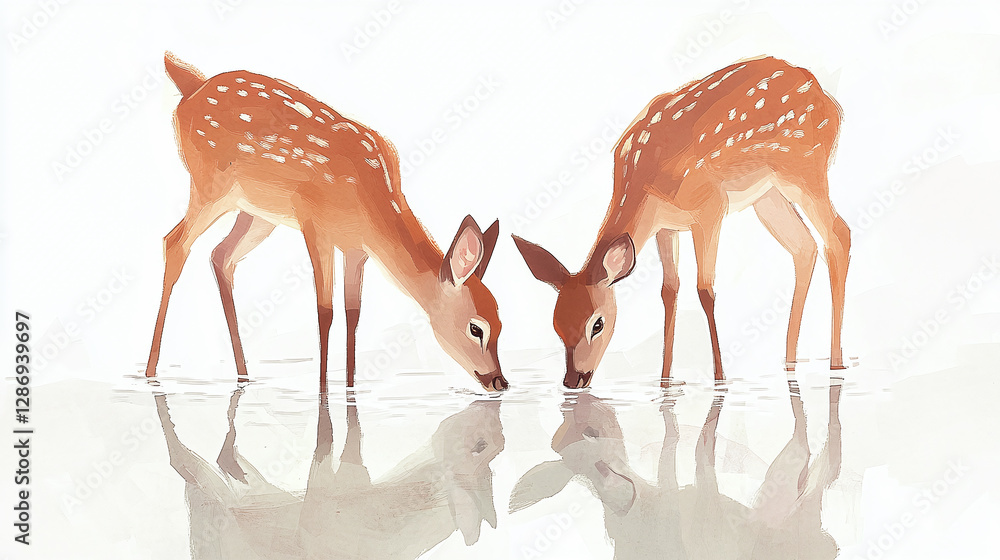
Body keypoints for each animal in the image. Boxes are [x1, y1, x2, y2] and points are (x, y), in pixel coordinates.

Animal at [146, 52, 508, 392]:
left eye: (502, 324)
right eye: (476, 328)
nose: (499, 381)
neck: (372, 202)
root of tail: (192, 86)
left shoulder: (356, 247)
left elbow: (353, 313)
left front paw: (350, 387)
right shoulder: (314, 222)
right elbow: (325, 310)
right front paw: (322, 390)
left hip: (257, 211)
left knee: (221, 256)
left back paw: (244, 374)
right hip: (210, 185)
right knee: (174, 242)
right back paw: (150, 372)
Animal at [513, 56, 851, 388]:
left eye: (597, 324)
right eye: (556, 325)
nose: (573, 380)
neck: (645, 181)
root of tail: (826, 97)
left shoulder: (710, 206)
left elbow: (705, 290)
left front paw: (719, 378)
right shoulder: (666, 226)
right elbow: (669, 290)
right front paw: (665, 380)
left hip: (804, 167)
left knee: (838, 234)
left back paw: (836, 362)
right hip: (767, 195)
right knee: (804, 246)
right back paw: (789, 361)